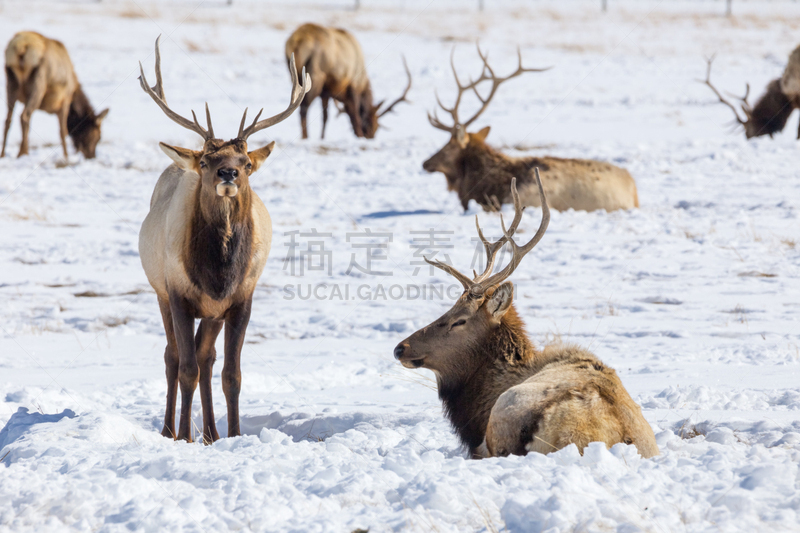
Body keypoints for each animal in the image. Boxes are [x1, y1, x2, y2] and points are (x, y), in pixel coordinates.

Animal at [1, 31, 108, 159]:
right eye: (98, 136)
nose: (92, 156)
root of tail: (22, 48)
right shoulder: (65, 100)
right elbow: (63, 130)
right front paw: (66, 156)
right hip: (39, 81)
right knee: (25, 115)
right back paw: (23, 152)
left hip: (10, 80)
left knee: (8, 119)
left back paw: (3, 153)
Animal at [136, 36, 310, 444]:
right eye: (205, 161)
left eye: (246, 163)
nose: (227, 173)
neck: (218, 273)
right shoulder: (178, 293)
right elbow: (185, 368)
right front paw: (184, 436)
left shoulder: (241, 300)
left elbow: (232, 374)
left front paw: (234, 434)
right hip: (160, 292)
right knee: (172, 357)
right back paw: (170, 429)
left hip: (212, 313)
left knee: (206, 357)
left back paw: (213, 433)